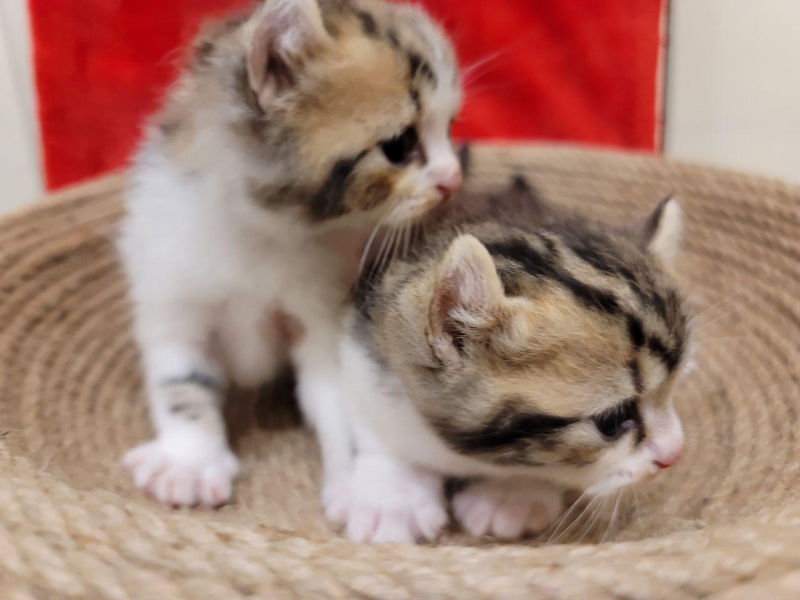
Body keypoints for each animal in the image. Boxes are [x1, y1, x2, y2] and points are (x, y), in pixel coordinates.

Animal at [115, 0, 460, 508]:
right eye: (399, 146)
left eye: (450, 128)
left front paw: (367, 491)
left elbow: (344, 401)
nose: (453, 178)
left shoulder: (326, 310)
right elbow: (182, 381)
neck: (263, 231)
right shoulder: (173, 297)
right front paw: (189, 461)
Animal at [334, 183, 692, 544]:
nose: (675, 454)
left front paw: (510, 494)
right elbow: (374, 424)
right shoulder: (364, 348)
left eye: (674, 387)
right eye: (612, 420)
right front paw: (393, 497)